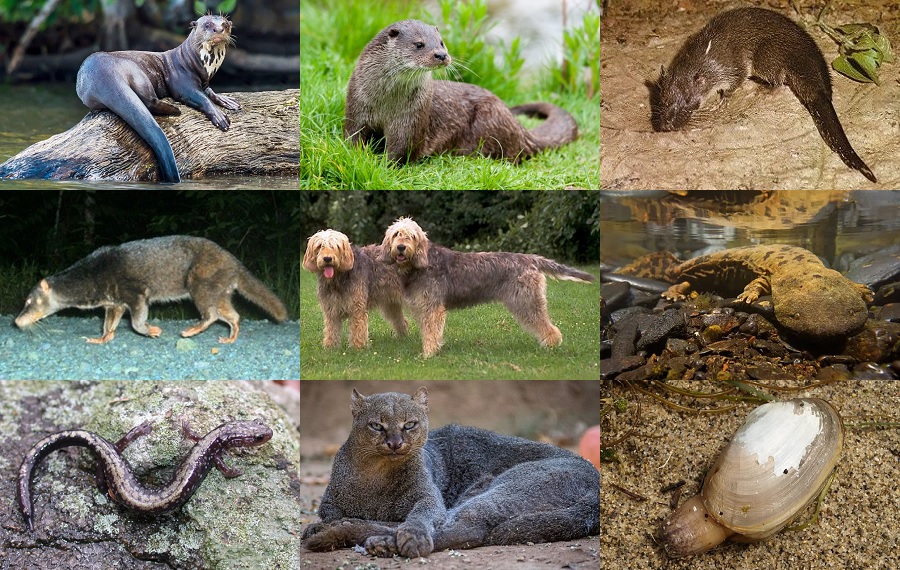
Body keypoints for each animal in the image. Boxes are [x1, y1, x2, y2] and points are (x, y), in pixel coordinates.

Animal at [75, 14, 240, 183]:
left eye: (225, 24)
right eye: (207, 24)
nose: (218, 29)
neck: (193, 62)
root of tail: (102, 73)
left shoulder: (205, 81)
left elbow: (209, 91)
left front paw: (227, 101)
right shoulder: (182, 83)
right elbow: (200, 97)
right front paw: (219, 116)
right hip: (137, 72)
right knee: (149, 101)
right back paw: (175, 110)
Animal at [344, 19, 578, 163]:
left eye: (441, 42)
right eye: (419, 44)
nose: (441, 55)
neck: (386, 102)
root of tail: (518, 128)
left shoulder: (410, 119)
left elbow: (401, 150)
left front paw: (383, 165)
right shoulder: (357, 106)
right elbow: (353, 136)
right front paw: (356, 156)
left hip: (490, 120)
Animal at [653, 7, 876, 183]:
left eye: (689, 102)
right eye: (663, 100)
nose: (668, 125)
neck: (706, 57)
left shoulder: (733, 68)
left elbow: (733, 85)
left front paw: (721, 101)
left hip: (764, 57)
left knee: (779, 80)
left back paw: (763, 90)